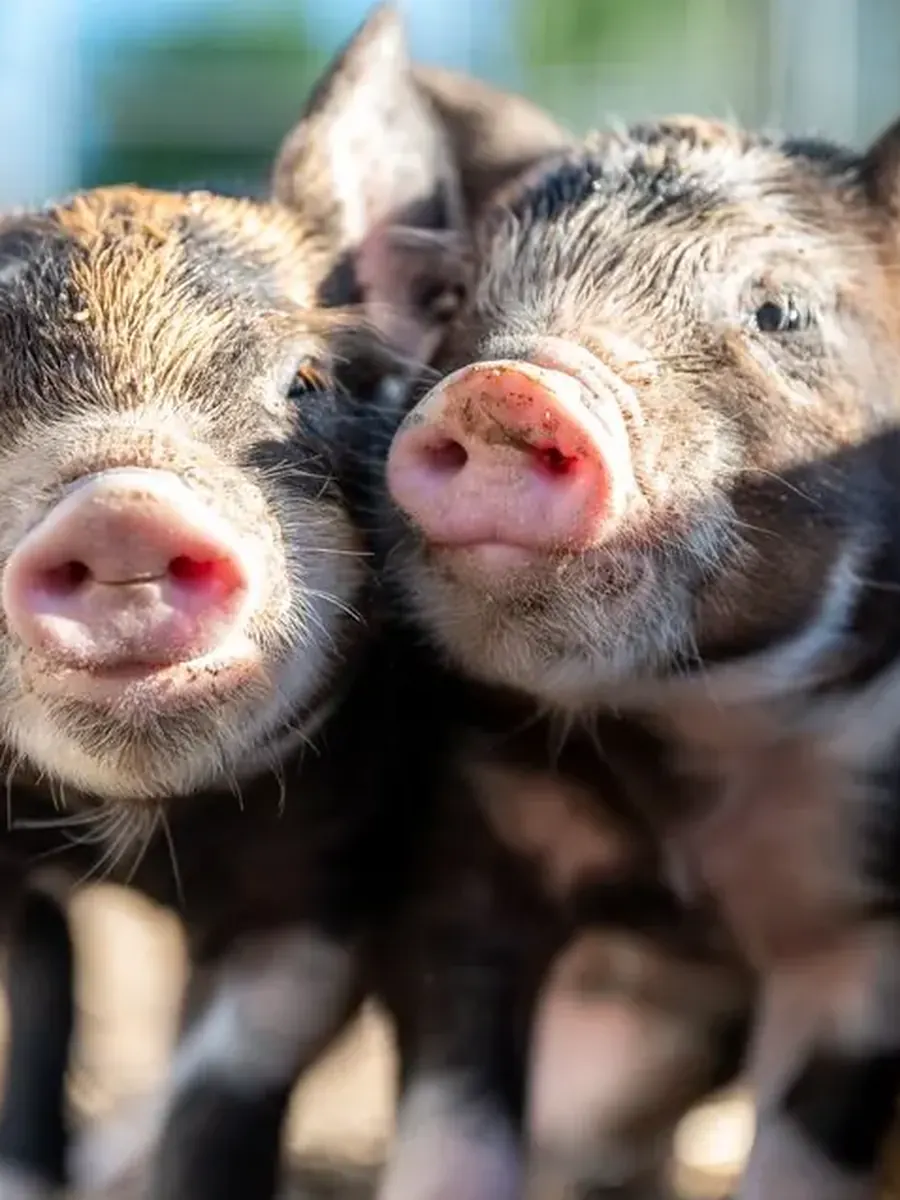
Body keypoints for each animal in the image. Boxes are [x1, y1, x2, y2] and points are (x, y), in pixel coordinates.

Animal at [376, 110, 900, 1200]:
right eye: (455, 296)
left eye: (781, 312)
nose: (505, 386)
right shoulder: (468, 830)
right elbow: (456, 1104)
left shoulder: (866, 921)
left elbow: (805, 1140)